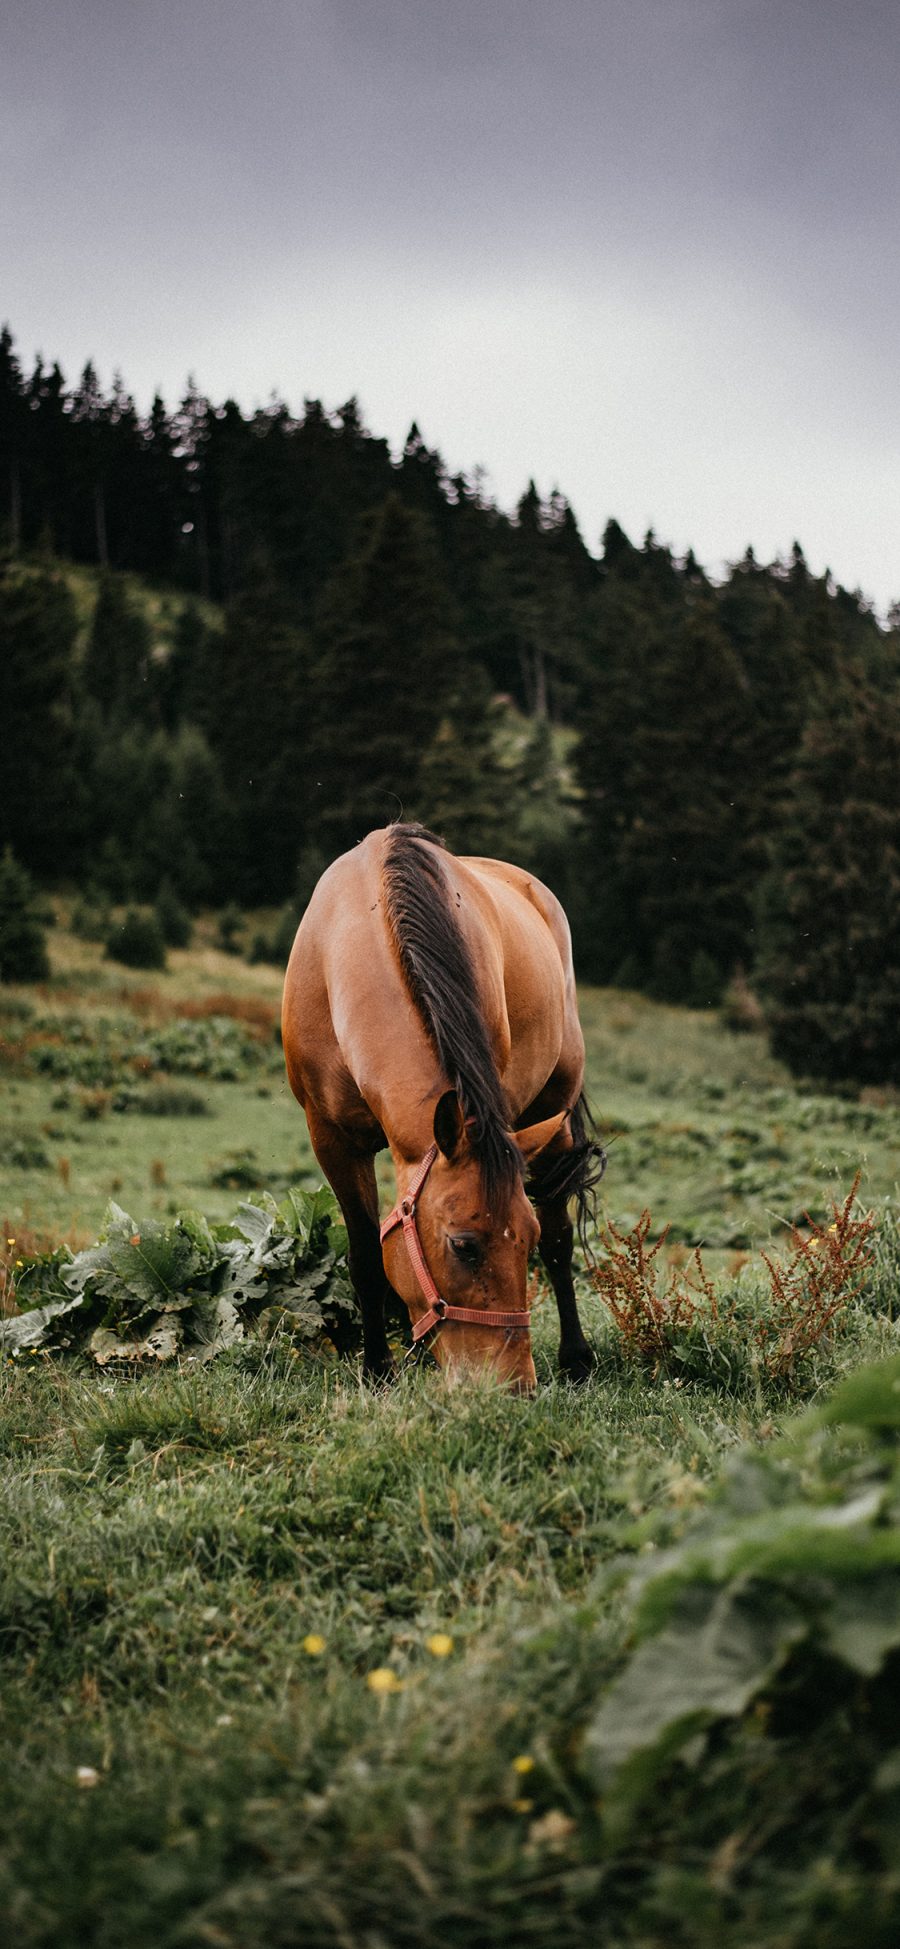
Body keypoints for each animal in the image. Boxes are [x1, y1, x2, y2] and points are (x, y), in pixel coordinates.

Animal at [282, 822, 603, 1387]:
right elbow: (365, 1258)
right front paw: (378, 1370)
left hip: (553, 1114)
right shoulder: (332, 1139)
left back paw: (576, 1358)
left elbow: (551, 1238)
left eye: (523, 1238)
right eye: (464, 1245)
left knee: (561, 1239)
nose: (512, 1386)